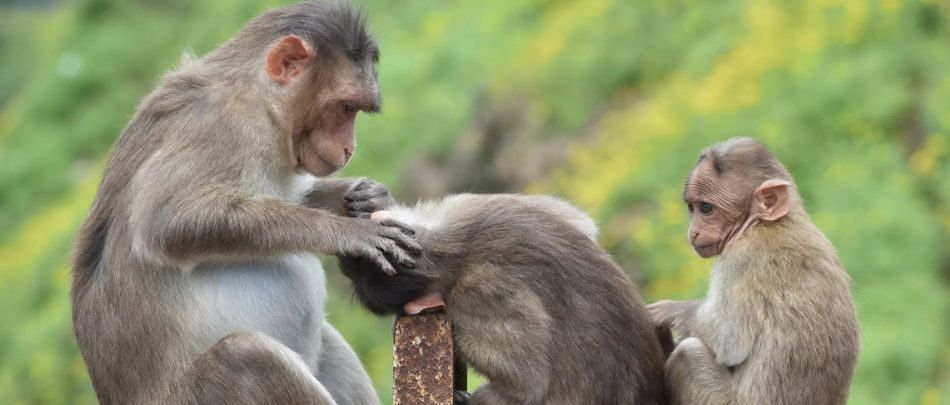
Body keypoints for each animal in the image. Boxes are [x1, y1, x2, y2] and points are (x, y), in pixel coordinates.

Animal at [70, 2, 422, 404]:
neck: (263, 103)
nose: (349, 149)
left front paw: (366, 197)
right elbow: (167, 222)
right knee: (246, 356)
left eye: (356, 110)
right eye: (346, 108)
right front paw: (346, 231)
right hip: (199, 395)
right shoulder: (221, 125)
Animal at [337, 185, 667, 405]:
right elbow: (581, 223)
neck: (455, 246)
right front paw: (376, 200)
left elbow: (528, 385)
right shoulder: (469, 206)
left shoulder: (478, 295)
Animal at [647, 137, 861, 405]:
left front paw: (667, 311)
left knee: (690, 353)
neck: (768, 223)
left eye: (706, 208)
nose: (692, 232)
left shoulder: (740, 259)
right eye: (691, 207)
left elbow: (729, 339)